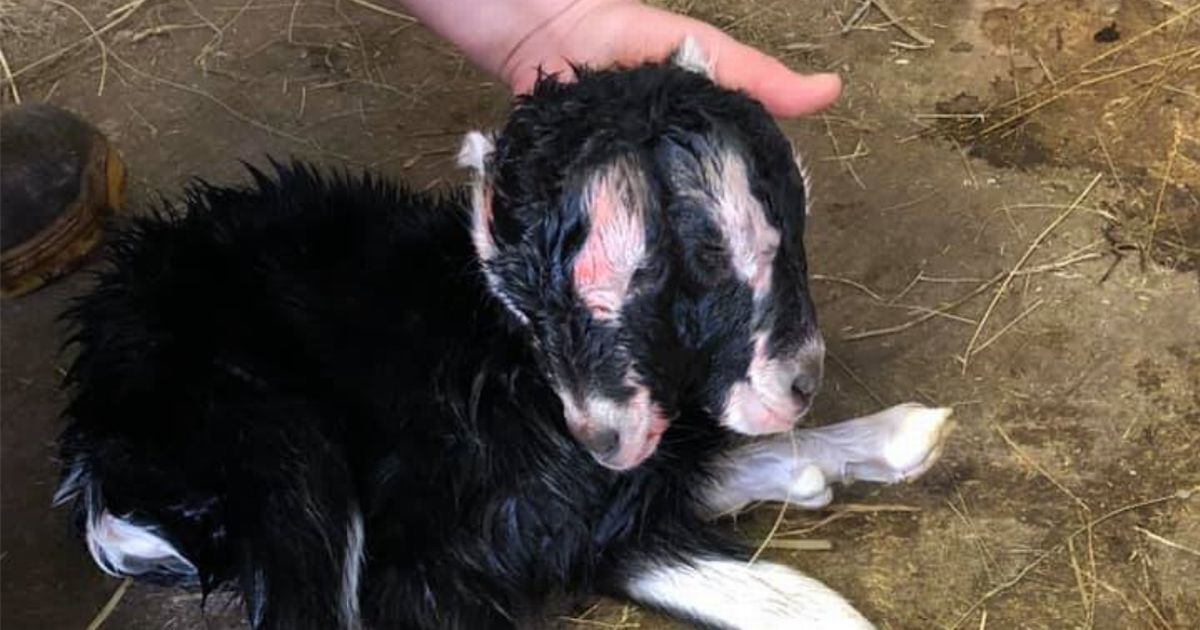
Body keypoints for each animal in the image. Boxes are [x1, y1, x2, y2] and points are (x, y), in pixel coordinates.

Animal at [53, 40, 952, 629]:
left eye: (785, 230)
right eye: (602, 276)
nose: (799, 382)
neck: (503, 352)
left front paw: (881, 444)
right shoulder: (435, 556)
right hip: (276, 446)